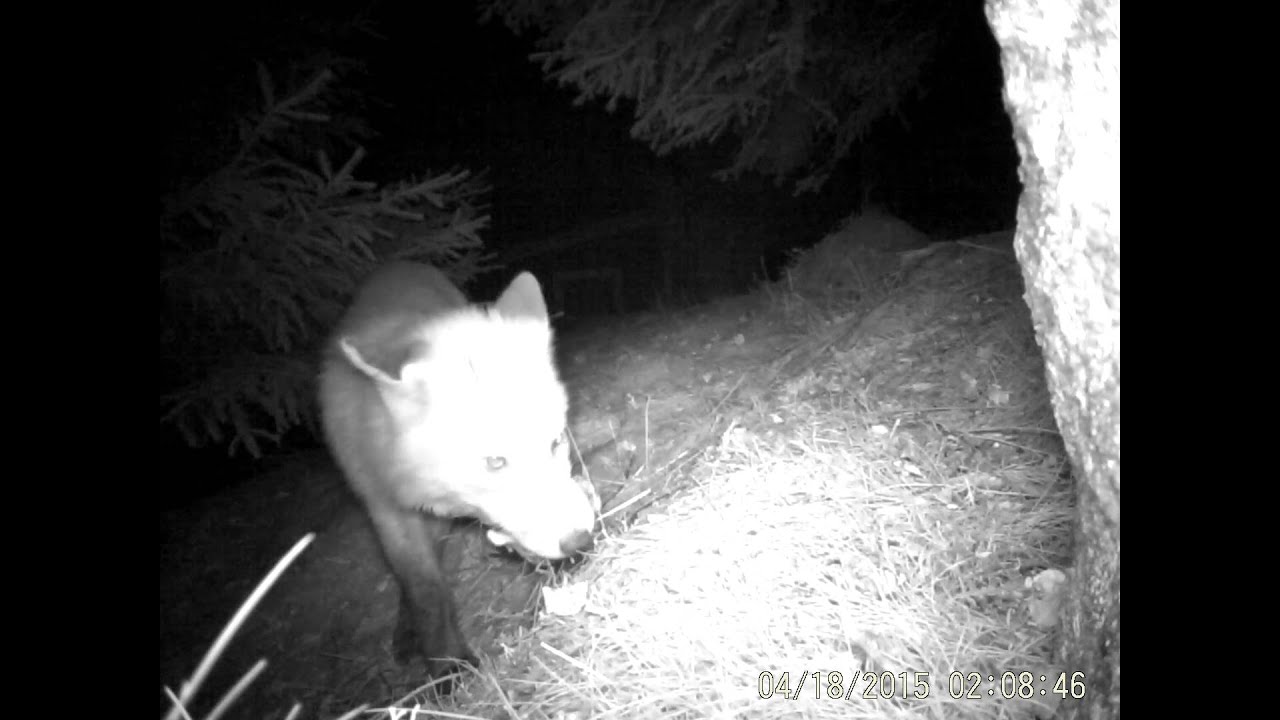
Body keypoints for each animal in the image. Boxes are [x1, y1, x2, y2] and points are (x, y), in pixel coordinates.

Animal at [317, 262, 598, 683]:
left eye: (555, 442)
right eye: (495, 462)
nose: (579, 539)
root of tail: (397, 265)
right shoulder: (383, 504)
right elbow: (424, 588)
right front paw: (447, 664)